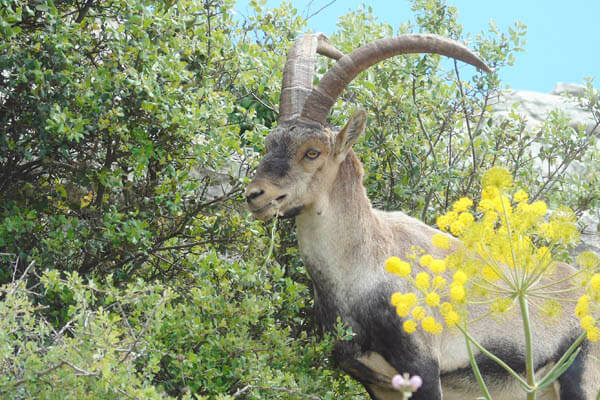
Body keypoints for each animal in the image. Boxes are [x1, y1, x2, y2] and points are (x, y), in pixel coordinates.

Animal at [245, 35, 600, 400]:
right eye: (269, 143)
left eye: (312, 152)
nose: (256, 195)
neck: (363, 267)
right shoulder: (377, 383)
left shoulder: (424, 369)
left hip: (582, 379)